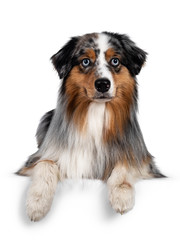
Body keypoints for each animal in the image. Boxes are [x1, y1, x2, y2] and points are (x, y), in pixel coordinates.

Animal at [16, 31, 165, 221]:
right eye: (86, 61)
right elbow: (45, 164)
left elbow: (124, 164)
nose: (102, 84)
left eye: (115, 61)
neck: (96, 111)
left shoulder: (141, 158)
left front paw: (121, 196)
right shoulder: (40, 158)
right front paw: (37, 202)